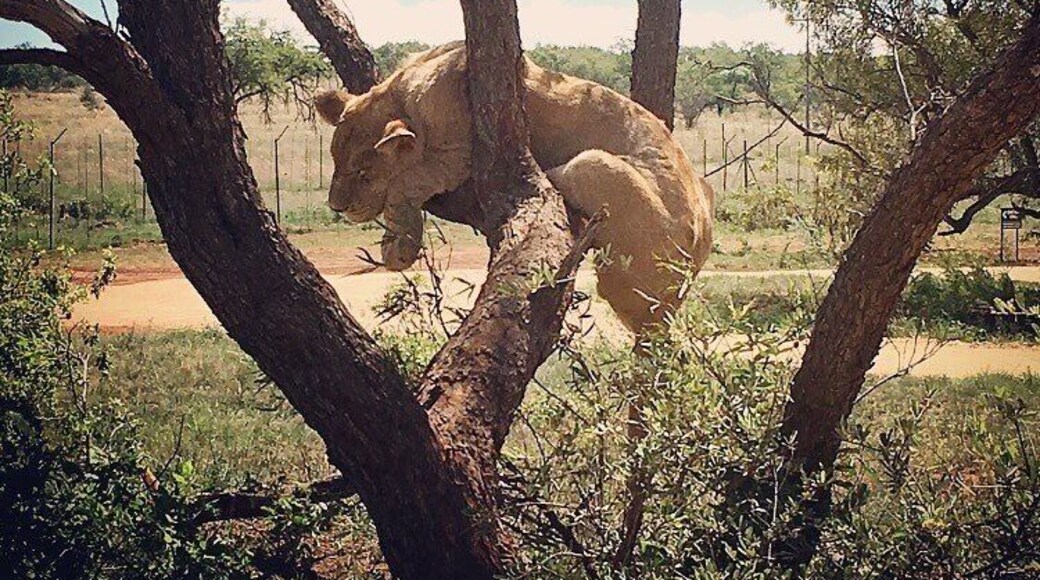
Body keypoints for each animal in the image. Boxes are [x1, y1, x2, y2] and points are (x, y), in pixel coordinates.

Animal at [315, 42, 713, 335]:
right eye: (334, 158)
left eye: (364, 173)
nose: (336, 206)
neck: (402, 91)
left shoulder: (459, 154)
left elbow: (405, 185)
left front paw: (398, 247)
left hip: (593, 164)